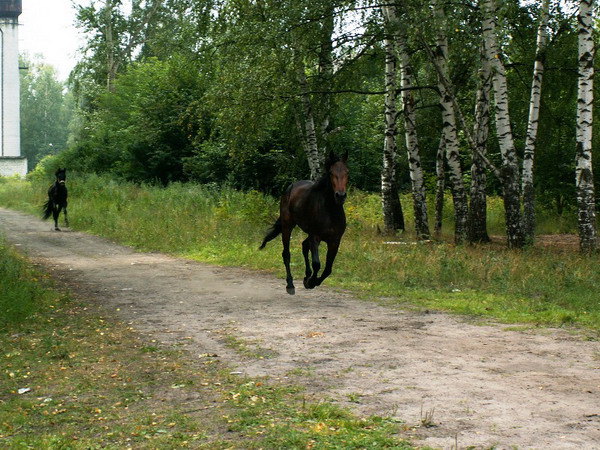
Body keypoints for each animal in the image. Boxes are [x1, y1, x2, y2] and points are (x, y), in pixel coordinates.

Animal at [260, 151, 350, 296]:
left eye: (347, 172)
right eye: (331, 172)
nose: (340, 195)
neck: (330, 211)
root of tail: (290, 188)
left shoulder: (335, 241)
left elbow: (328, 268)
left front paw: (311, 280)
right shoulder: (315, 237)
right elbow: (317, 263)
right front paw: (311, 282)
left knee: (304, 245)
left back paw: (307, 275)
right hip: (287, 226)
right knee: (286, 254)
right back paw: (290, 284)